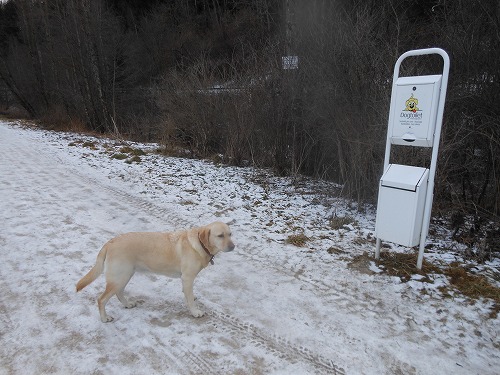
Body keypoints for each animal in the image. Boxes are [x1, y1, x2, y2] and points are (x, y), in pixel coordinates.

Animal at [76, 223, 236, 324]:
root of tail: (110, 242)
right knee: (102, 299)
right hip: (120, 276)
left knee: (119, 293)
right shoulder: (188, 277)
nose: (233, 246)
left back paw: (128, 304)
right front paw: (195, 312)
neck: (199, 244)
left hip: (125, 275)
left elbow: (188, 293)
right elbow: (190, 299)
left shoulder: (185, 279)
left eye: (230, 234)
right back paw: (105, 318)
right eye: (220, 235)